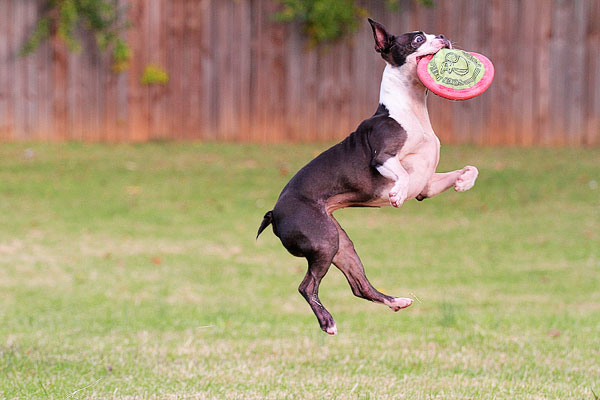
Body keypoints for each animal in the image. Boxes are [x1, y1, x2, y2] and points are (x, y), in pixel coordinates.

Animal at [256, 19, 478, 338]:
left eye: (433, 33)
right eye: (417, 39)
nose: (442, 36)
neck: (412, 108)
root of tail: (274, 212)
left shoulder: (425, 185)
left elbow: (468, 169)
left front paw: (463, 182)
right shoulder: (382, 157)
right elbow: (399, 172)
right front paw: (397, 193)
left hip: (341, 244)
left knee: (359, 286)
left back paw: (396, 301)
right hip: (324, 242)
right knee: (306, 286)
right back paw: (328, 322)